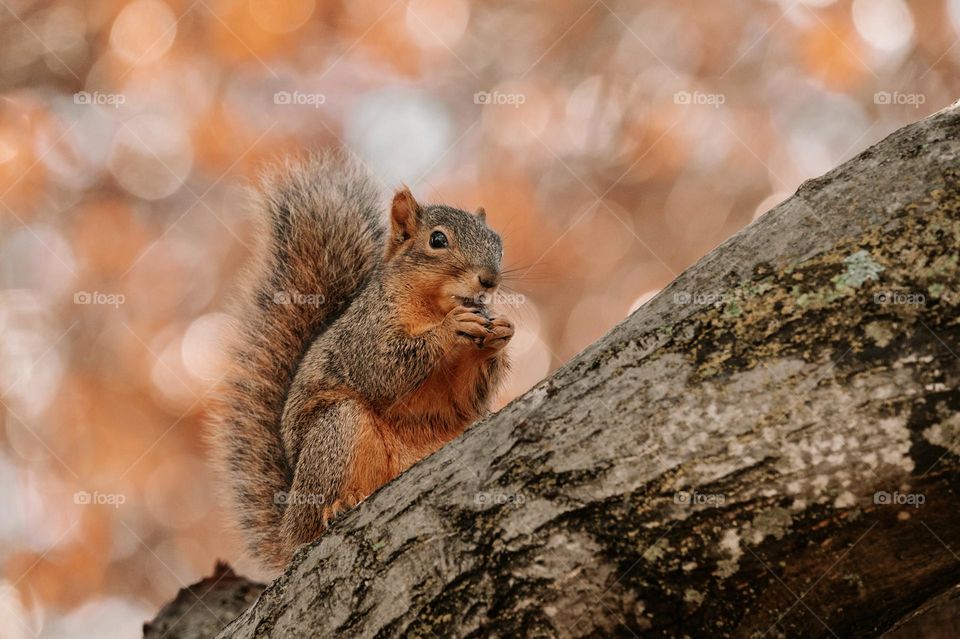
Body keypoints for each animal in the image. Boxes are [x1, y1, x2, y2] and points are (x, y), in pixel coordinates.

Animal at [207, 152, 512, 568]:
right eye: (437, 240)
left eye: (498, 242)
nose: (489, 280)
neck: (433, 305)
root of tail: (288, 527)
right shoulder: (365, 335)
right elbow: (383, 371)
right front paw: (451, 328)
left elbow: (466, 398)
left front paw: (500, 333)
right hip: (337, 432)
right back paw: (336, 507)